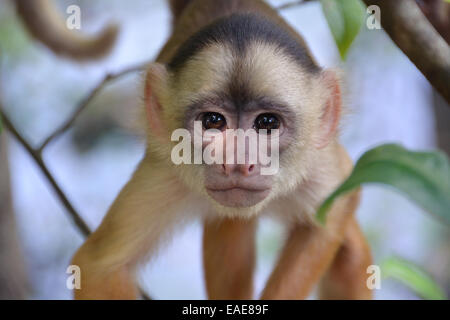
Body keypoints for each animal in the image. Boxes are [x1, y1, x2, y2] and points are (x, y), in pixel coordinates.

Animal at [71, 0, 372, 300]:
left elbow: (332, 214)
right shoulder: (166, 171)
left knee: (350, 257)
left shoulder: (318, 162)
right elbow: (98, 267)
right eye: (213, 121)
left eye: (268, 123)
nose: (237, 162)